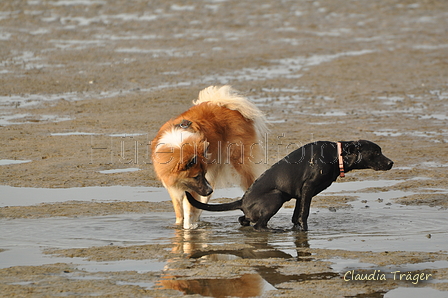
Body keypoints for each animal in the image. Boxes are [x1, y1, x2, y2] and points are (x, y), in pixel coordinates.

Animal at [150, 85, 270, 229]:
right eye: (196, 176)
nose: (209, 190)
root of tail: (227, 106)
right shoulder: (175, 188)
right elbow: (179, 211)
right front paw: (179, 226)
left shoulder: (193, 188)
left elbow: (188, 209)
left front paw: (188, 228)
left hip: (240, 164)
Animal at [186, 140, 392, 230]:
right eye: (376, 152)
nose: (391, 163)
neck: (336, 155)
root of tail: (242, 201)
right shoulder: (308, 188)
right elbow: (304, 214)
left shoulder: (301, 193)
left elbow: (296, 216)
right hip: (276, 197)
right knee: (258, 225)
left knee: (243, 219)